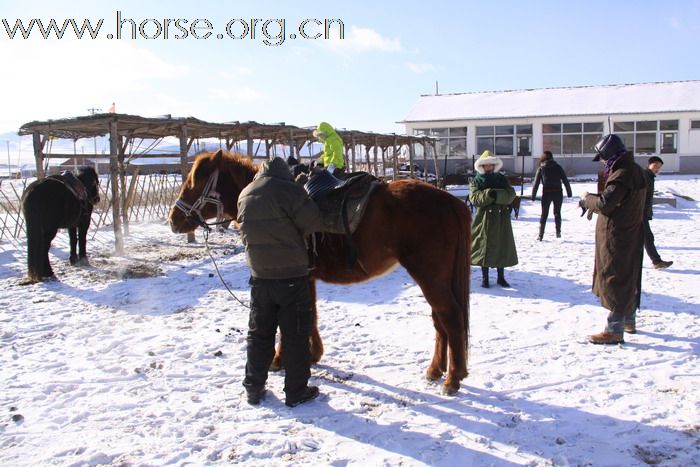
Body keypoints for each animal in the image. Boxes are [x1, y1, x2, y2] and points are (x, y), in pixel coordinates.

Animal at [169, 151, 474, 394]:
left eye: (194, 182)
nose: (173, 219)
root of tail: (451, 202)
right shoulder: (306, 277)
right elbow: (311, 315)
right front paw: (313, 354)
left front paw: (279, 359)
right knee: (439, 321)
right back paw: (436, 370)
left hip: (430, 275)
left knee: (450, 317)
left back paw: (452, 379)